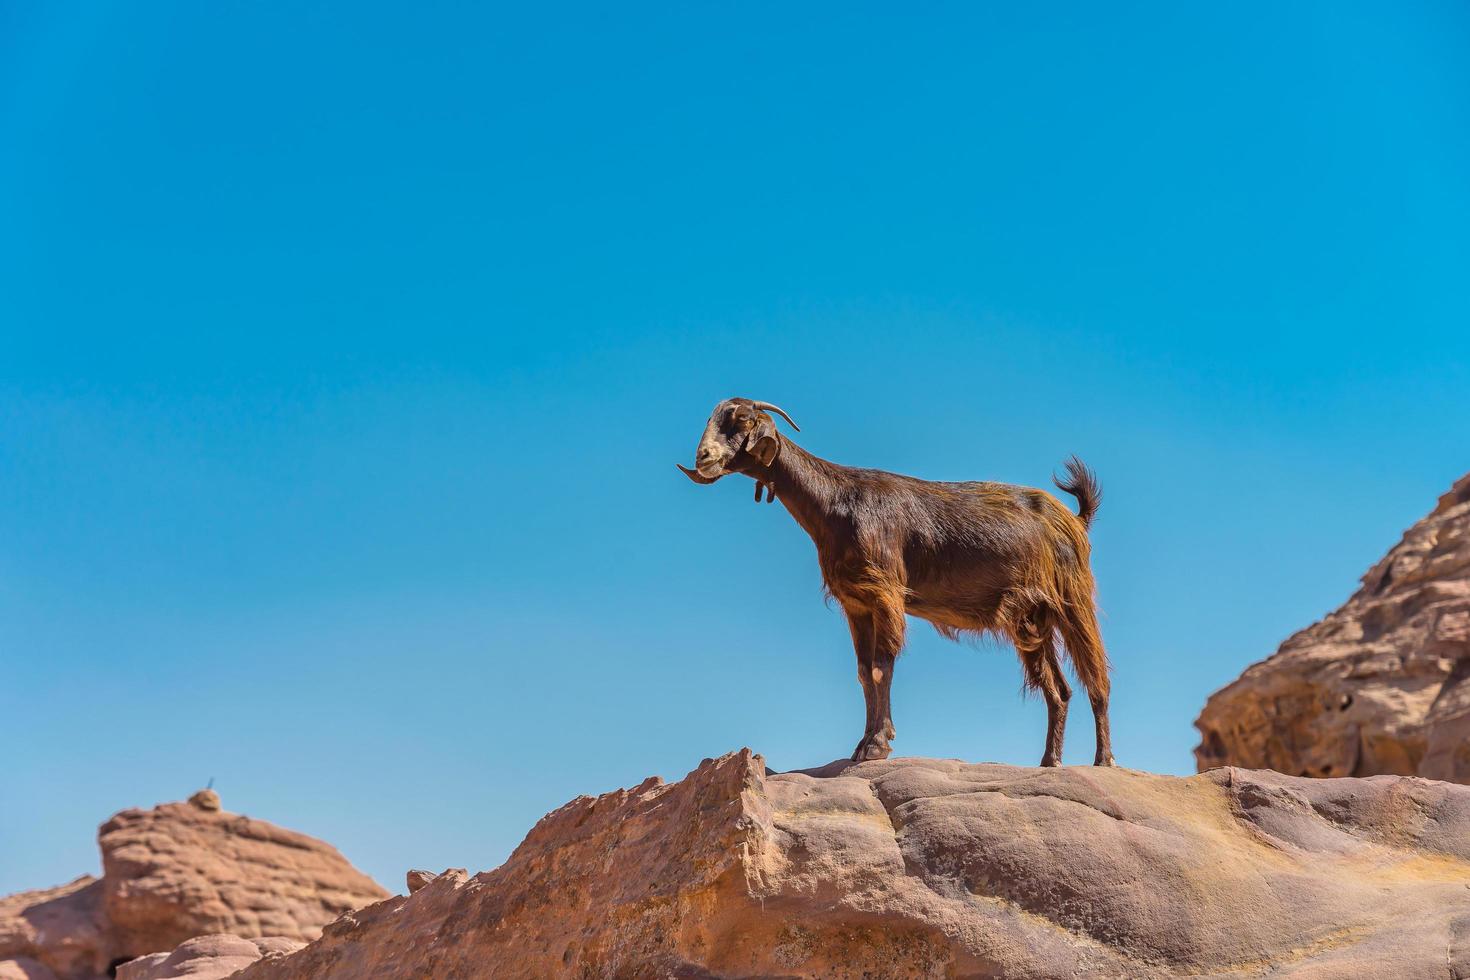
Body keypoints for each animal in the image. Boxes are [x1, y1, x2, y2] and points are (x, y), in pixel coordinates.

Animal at [676, 396, 1111, 764]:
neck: (836, 503)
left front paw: (877, 745)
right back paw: (1050, 761)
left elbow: (882, 666)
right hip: (1032, 617)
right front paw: (862, 744)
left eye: (742, 421)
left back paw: (1103, 759)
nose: (703, 456)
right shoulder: (856, 603)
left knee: (1096, 677)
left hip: (1073, 598)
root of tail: (1074, 518)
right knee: (1058, 689)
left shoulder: (885, 593)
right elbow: (863, 671)